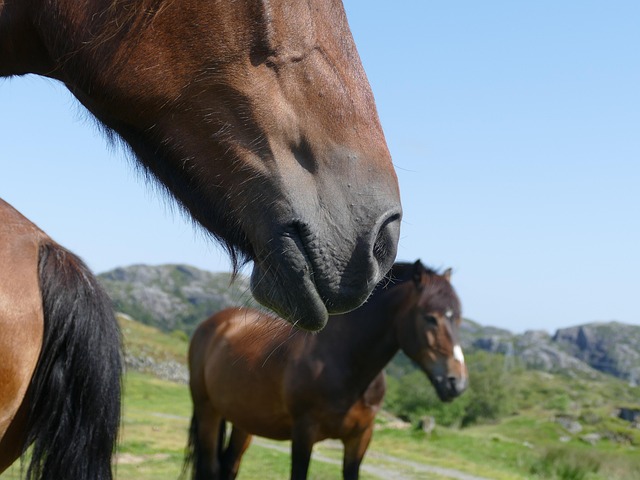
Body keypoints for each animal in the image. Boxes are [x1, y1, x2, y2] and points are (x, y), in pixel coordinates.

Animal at [186, 260, 468, 480]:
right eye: (430, 317)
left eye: (457, 318)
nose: (457, 382)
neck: (344, 364)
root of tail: (217, 323)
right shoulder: (304, 434)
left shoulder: (359, 439)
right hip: (207, 411)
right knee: (210, 468)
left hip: (243, 421)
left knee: (230, 466)